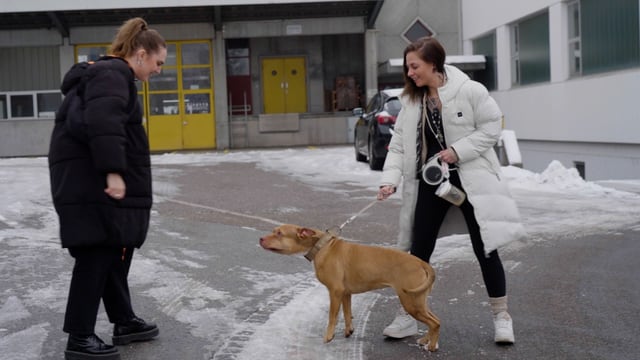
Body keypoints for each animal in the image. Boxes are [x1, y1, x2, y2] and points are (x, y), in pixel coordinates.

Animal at [260, 224, 440, 350]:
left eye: (279, 233)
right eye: (274, 231)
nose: (260, 238)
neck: (321, 246)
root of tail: (421, 262)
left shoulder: (335, 292)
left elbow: (332, 316)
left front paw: (329, 336)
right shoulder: (345, 293)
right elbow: (347, 313)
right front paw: (348, 331)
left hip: (411, 302)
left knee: (434, 323)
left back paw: (431, 346)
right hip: (419, 301)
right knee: (434, 321)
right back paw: (426, 340)